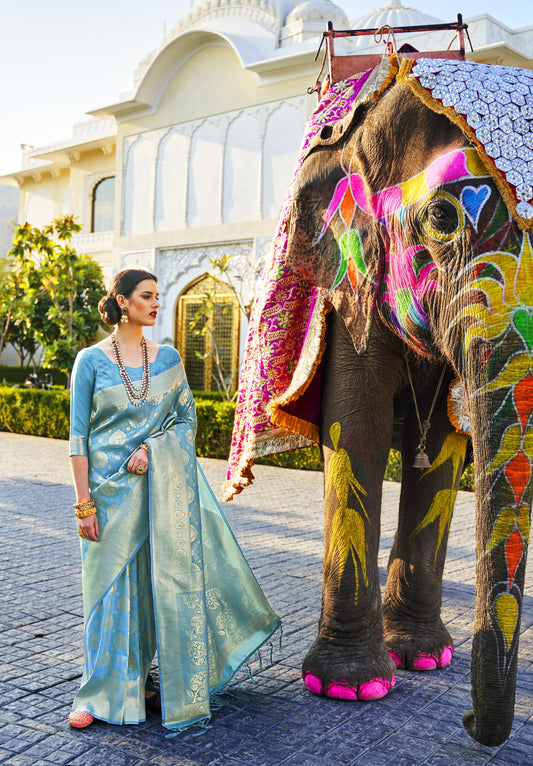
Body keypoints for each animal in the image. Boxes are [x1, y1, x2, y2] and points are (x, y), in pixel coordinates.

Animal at [224, 55, 532, 752]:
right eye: (444, 219)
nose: (468, 722)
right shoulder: (348, 290)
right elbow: (355, 430)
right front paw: (351, 689)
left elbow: (442, 452)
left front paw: (424, 660)